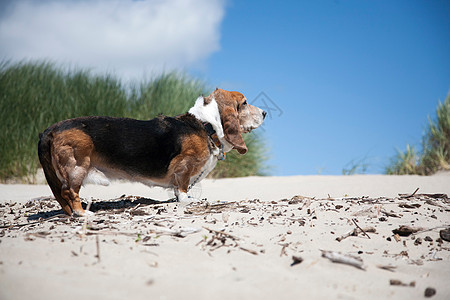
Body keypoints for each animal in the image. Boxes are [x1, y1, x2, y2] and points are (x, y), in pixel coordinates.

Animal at [38, 88, 268, 216]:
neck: (206, 125)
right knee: (69, 192)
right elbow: (182, 189)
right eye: (244, 103)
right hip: (77, 166)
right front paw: (187, 201)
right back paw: (82, 214)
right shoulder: (183, 167)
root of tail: (50, 129)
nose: (265, 112)